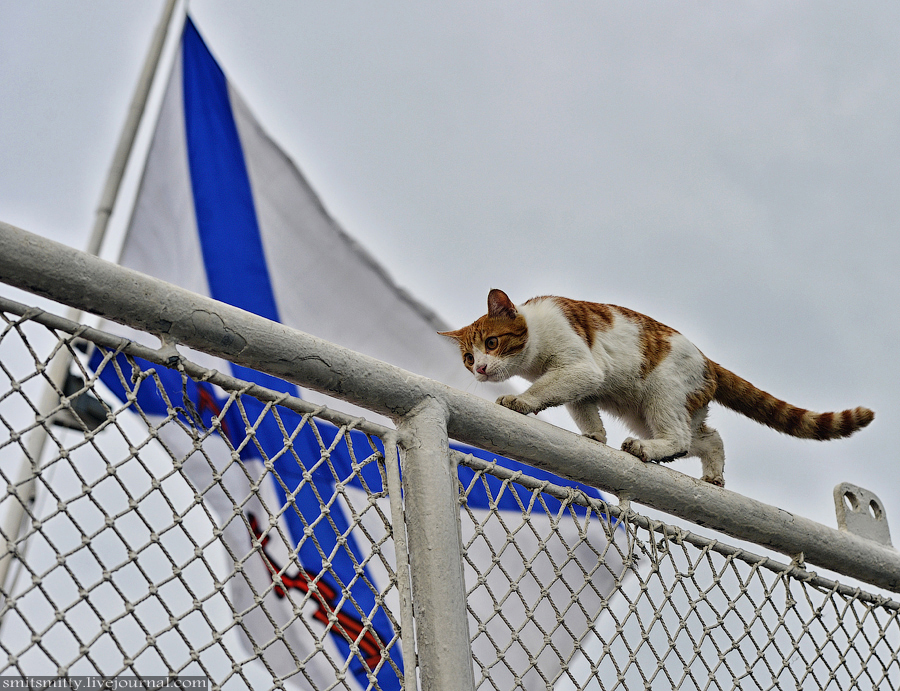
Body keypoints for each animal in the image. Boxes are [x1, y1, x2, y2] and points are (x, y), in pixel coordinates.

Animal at [440, 290, 876, 490]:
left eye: (492, 343)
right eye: (467, 358)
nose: (480, 368)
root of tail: (708, 361)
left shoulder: (581, 368)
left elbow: (548, 390)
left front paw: (519, 400)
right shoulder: (583, 389)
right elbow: (585, 413)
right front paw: (594, 438)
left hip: (661, 394)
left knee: (680, 439)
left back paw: (646, 450)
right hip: (650, 410)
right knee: (709, 437)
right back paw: (712, 475)